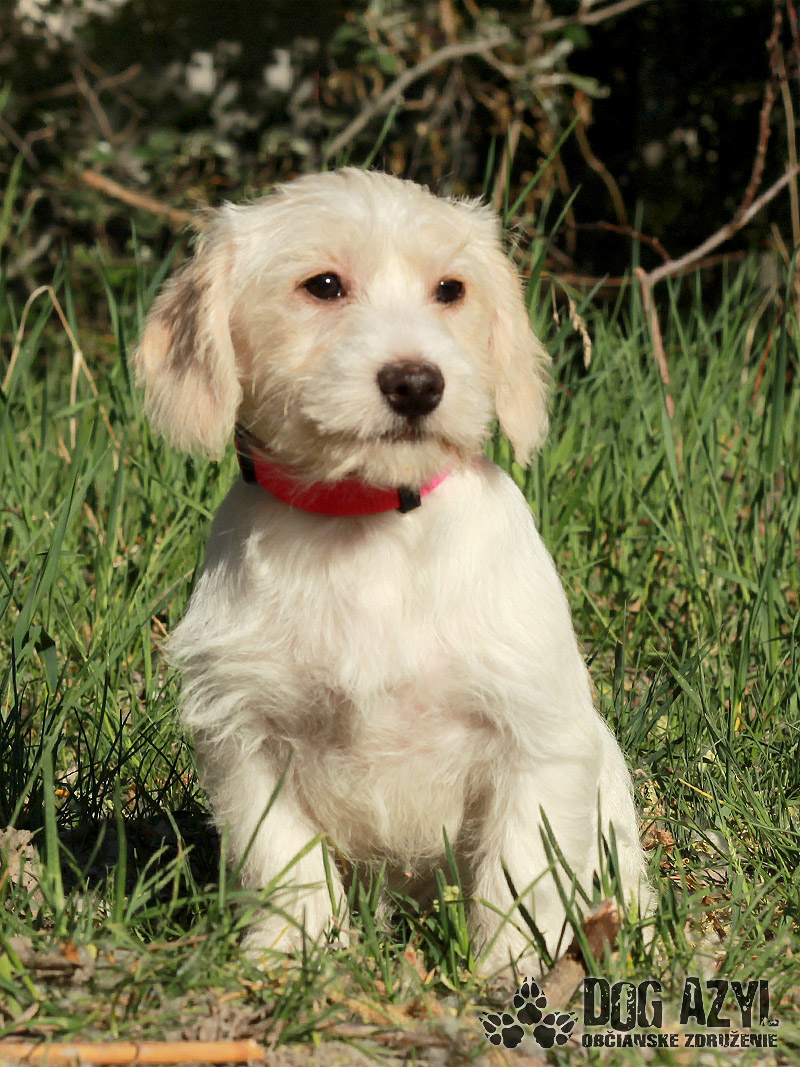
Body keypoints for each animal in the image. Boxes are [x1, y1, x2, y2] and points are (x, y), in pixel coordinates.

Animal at [134, 168, 648, 973]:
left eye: (450, 289)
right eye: (323, 285)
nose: (416, 382)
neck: (368, 524)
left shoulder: (533, 736)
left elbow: (519, 869)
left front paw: (509, 972)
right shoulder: (247, 733)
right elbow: (285, 858)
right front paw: (290, 955)